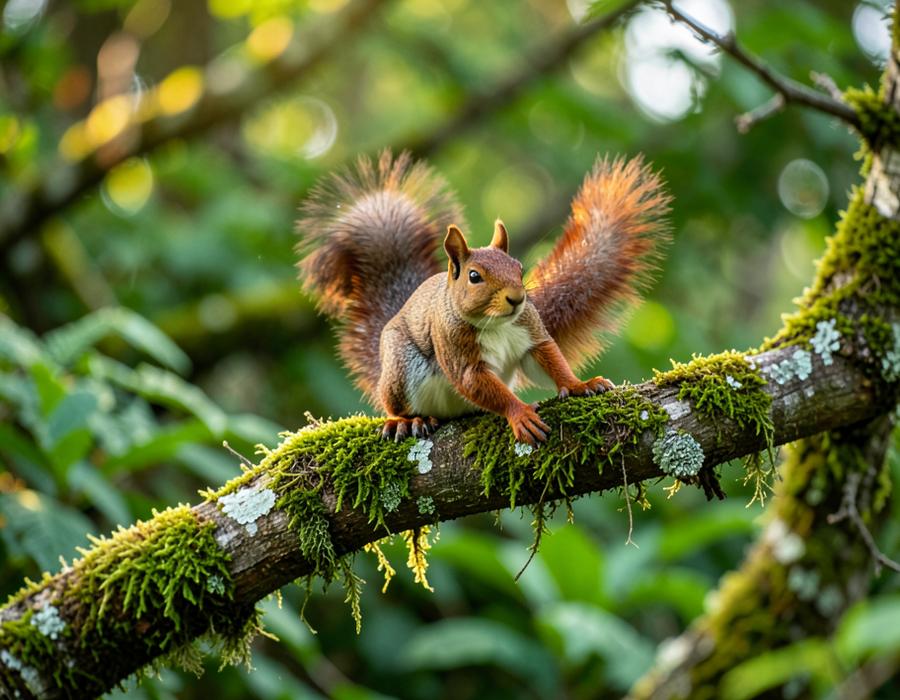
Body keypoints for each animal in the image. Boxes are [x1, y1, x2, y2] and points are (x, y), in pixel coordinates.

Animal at [296, 150, 670, 445]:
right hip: (400, 365)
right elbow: (475, 382)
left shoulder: (531, 333)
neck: (496, 324)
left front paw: (580, 384)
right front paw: (520, 414)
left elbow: (550, 357)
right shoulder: (458, 351)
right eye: (474, 276)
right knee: (393, 401)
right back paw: (407, 421)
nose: (517, 298)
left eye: (519, 268)